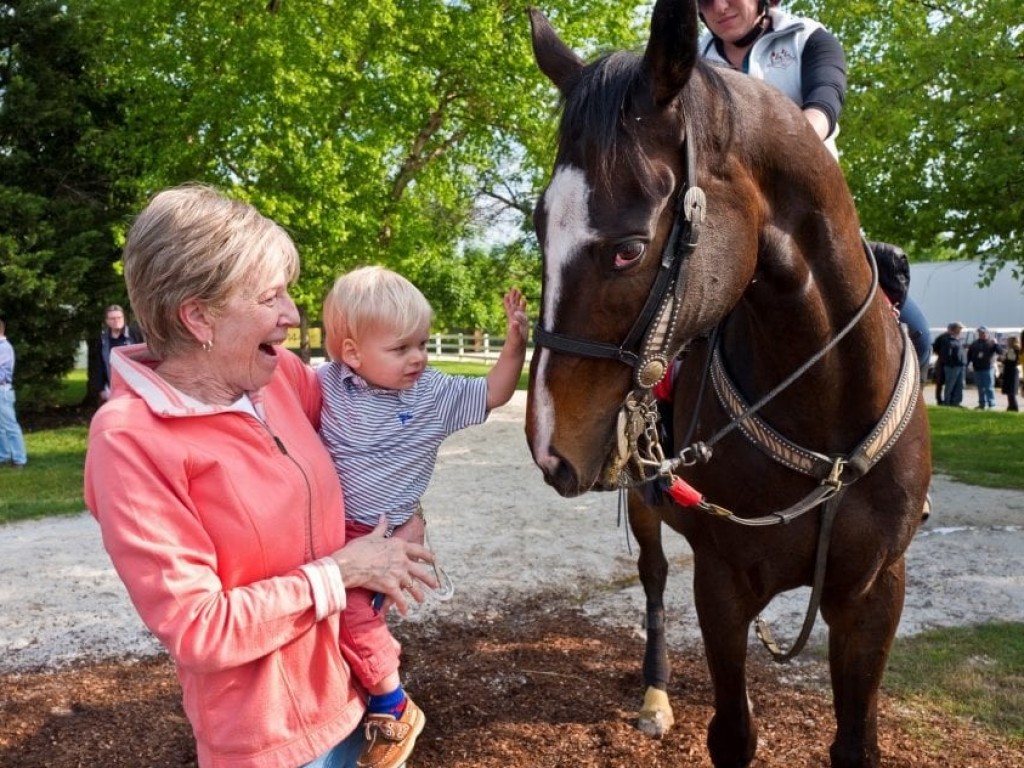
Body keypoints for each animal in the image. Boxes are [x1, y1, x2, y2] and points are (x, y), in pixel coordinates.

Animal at [524, 1, 933, 768]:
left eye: (628, 248)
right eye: (539, 227)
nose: (549, 443)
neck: (823, 413)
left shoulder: (876, 593)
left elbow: (855, 739)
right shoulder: (721, 584)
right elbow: (733, 733)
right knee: (654, 578)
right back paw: (655, 694)